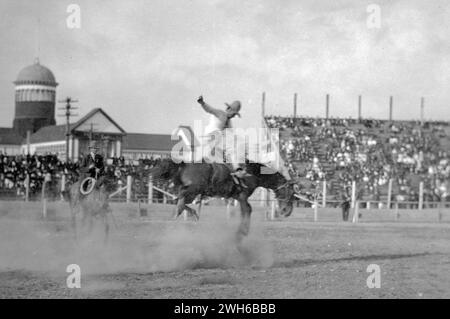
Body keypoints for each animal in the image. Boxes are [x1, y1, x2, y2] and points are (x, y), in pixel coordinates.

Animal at [149, 159, 300, 244]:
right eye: (291, 193)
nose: (286, 212)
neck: (253, 172)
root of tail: (182, 165)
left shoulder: (238, 197)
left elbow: (247, 210)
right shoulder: (243, 196)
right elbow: (247, 210)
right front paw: (242, 232)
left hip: (192, 192)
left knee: (180, 201)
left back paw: (193, 214)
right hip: (193, 189)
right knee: (180, 203)